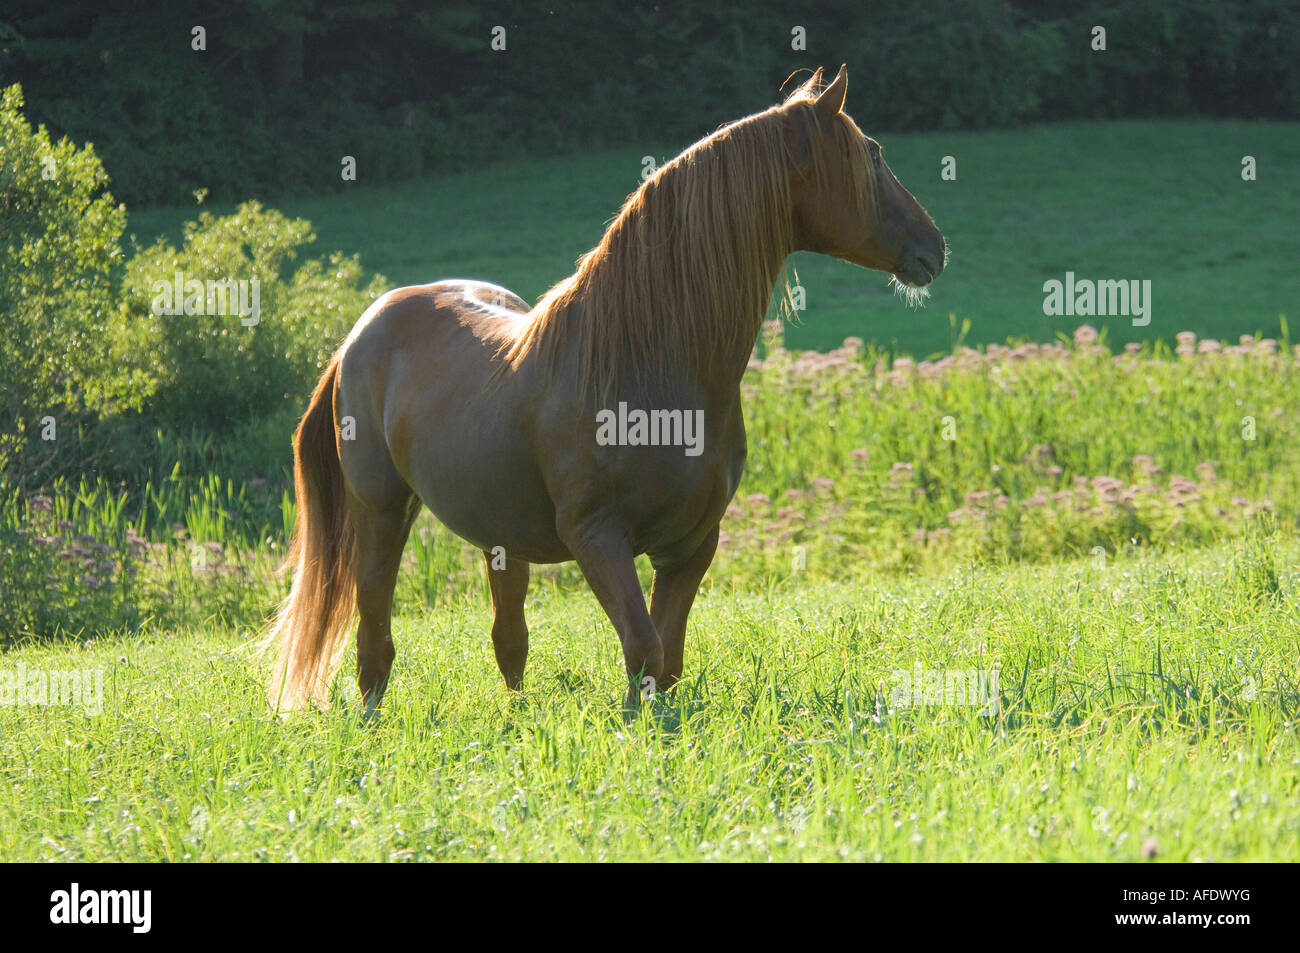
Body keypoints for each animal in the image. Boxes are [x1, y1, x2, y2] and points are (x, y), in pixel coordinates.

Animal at [263, 65, 951, 707]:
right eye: (873, 154)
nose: (936, 247)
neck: (648, 366)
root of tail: (363, 328)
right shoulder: (598, 538)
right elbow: (644, 649)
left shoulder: (692, 545)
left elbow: (666, 662)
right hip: (381, 511)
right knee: (374, 637)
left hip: (498, 536)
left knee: (508, 639)